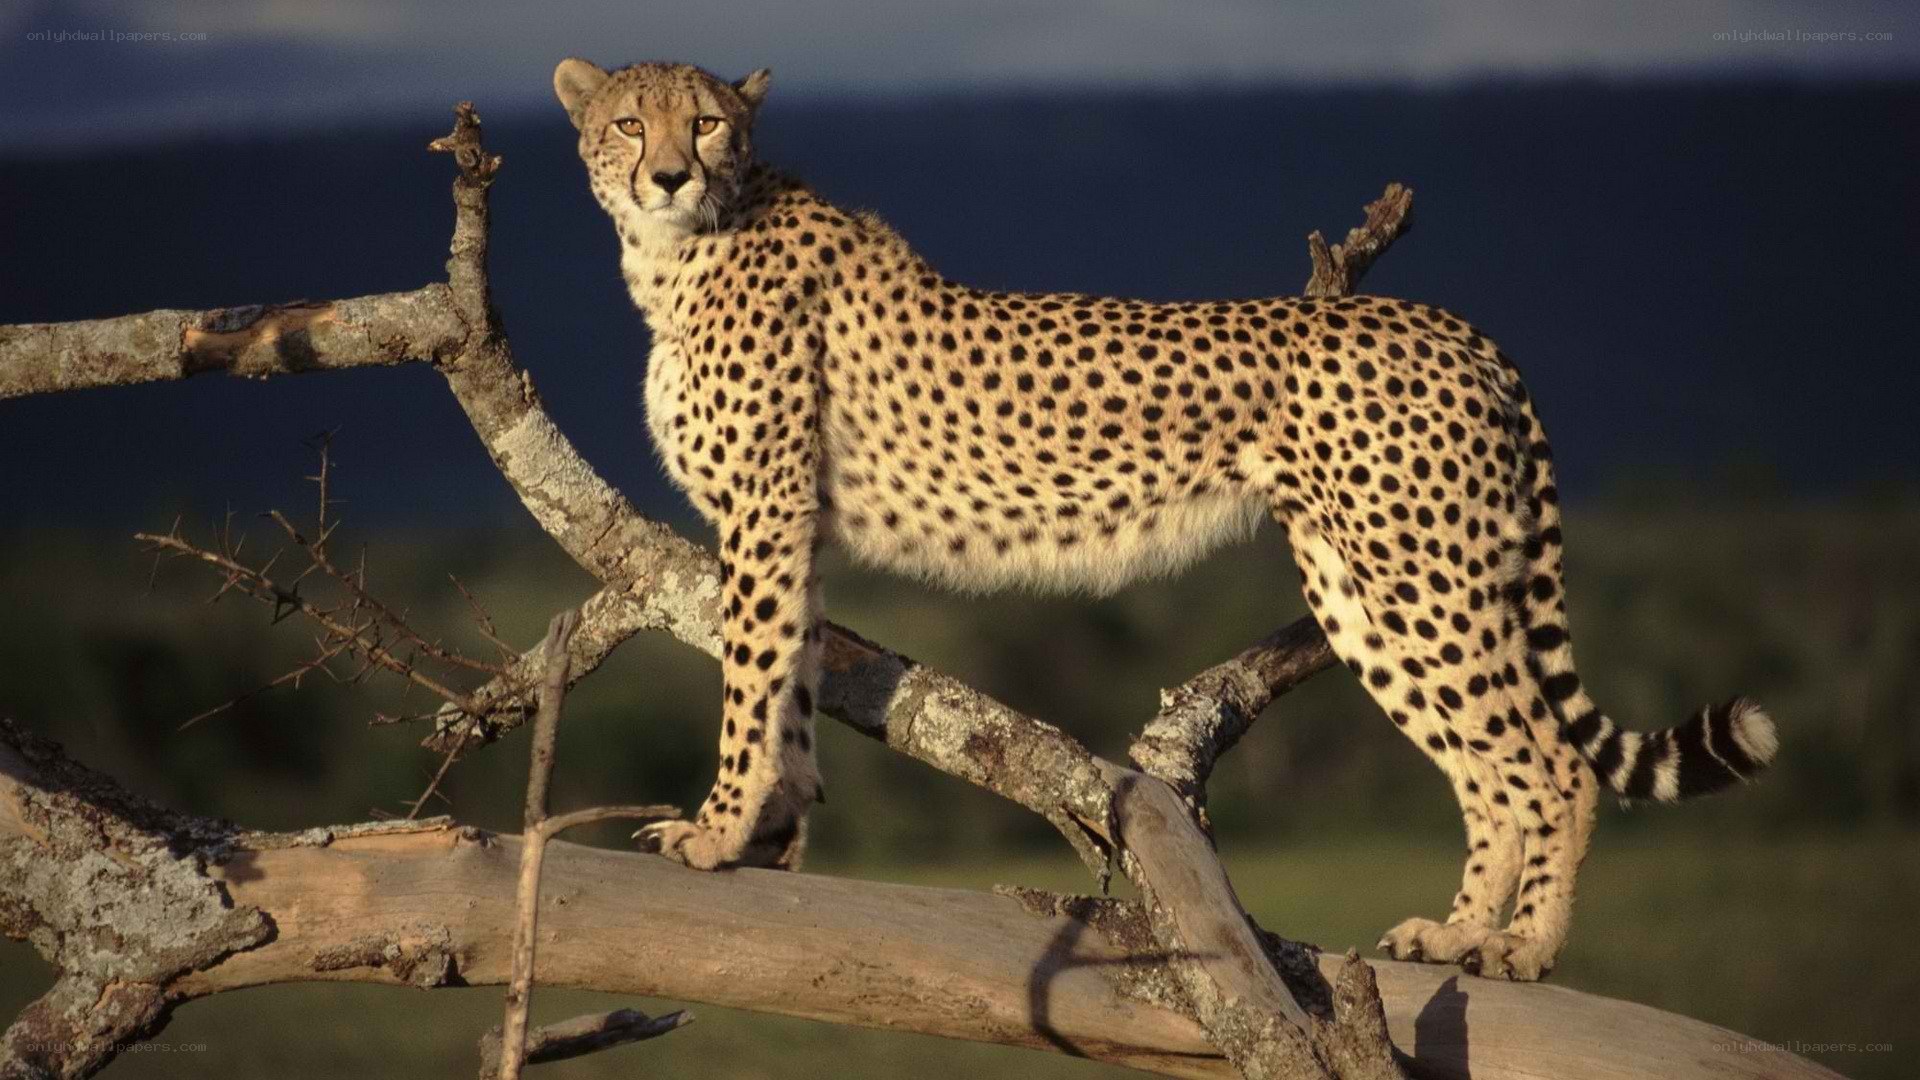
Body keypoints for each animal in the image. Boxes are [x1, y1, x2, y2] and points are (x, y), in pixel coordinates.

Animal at [553, 57, 1779, 981]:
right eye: (630, 122)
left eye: (707, 121)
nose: (668, 175)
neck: (686, 247)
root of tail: (1449, 322)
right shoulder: (793, 523)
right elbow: (791, 680)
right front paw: (768, 836)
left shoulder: (763, 512)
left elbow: (750, 677)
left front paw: (716, 830)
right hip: (1366, 594)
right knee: (1489, 773)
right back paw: (1459, 932)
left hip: (1423, 579)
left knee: (1550, 766)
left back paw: (1524, 950)